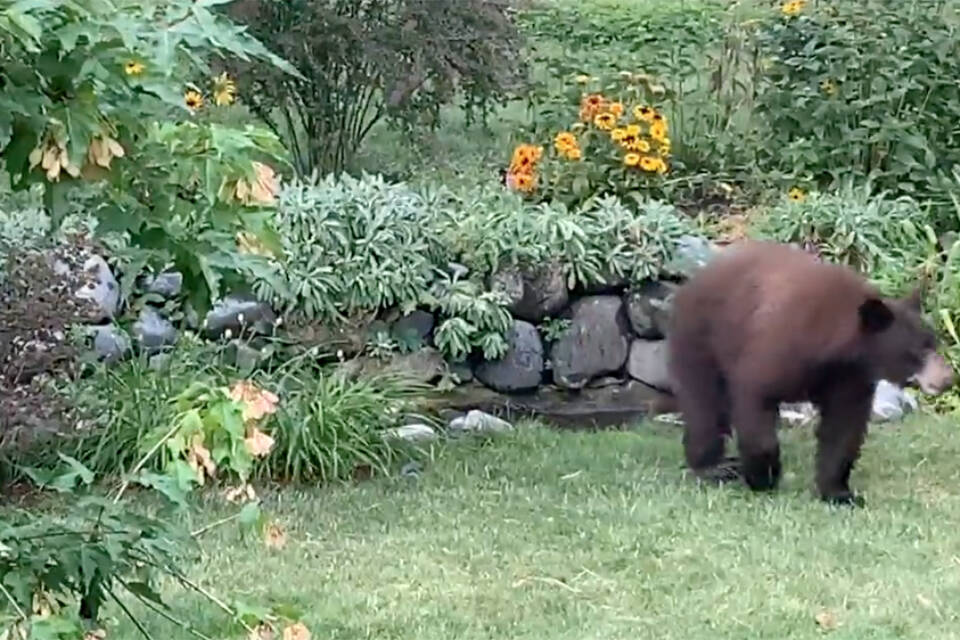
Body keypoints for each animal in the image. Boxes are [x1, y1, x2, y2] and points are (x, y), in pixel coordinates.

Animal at [668, 240, 952, 504]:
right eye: (919, 350)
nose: (948, 379)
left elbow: (843, 428)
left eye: (934, 342)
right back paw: (713, 467)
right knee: (703, 403)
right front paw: (763, 478)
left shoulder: (849, 378)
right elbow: (755, 398)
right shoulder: (776, 350)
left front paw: (839, 493)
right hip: (701, 337)